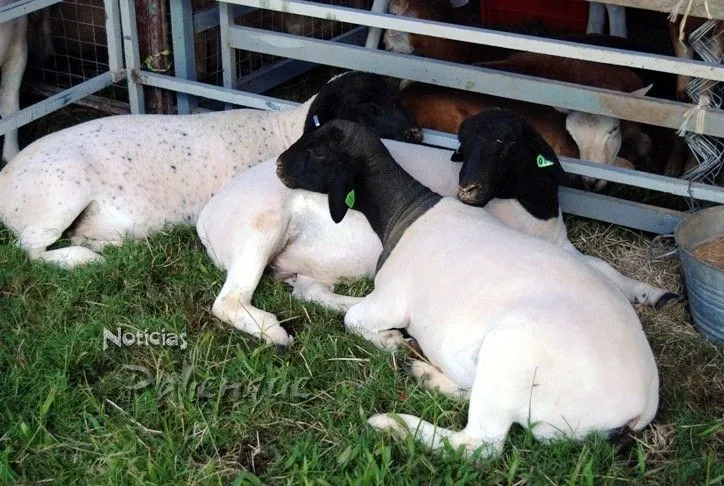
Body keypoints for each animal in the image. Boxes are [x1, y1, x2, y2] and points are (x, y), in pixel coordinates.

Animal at [0, 72, 418, 268]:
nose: (415, 132)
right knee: (30, 249)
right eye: (366, 107)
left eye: (394, 98)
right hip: (58, 196)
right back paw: (86, 261)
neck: (282, 132)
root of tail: (4, 178)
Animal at [197, 108, 680, 348]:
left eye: (507, 143)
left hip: (310, 264)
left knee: (310, 290)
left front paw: (653, 293)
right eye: (465, 144)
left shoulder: (561, 243)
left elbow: (606, 269)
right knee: (229, 300)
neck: (531, 207)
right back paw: (276, 333)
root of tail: (207, 216)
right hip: (261, 227)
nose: (469, 188)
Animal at [274, 119, 660, 458]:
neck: (407, 210)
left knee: (479, 444)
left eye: (320, 151)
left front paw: (390, 340)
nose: (278, 166)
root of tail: (642, 407)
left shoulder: (391, 300)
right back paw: (426, 375)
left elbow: (353, 317)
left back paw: (395, 423)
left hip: (510, 359)